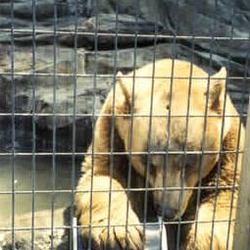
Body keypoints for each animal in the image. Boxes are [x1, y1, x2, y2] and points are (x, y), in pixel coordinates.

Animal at [74, 59, 244, 250]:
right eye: (150, 164)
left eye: (189, 164)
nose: (167, 211)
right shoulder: (112, 134)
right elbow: (102, 176)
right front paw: (119, 235)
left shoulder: (229, 148)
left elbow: (224, 192)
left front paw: (202, 242)